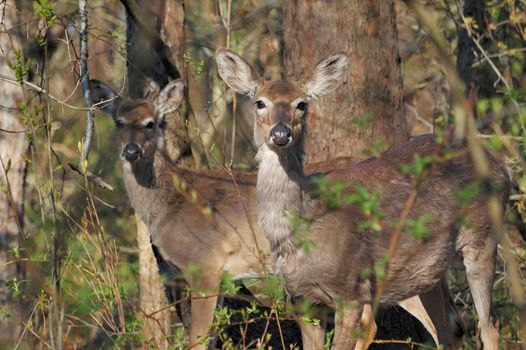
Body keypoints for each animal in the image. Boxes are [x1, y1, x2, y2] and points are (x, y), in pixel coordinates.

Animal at [216, 47, 512, 350]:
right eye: (259, 102)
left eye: (302, 104)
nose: (280, 133)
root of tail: (500, 165)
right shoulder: (303, 299)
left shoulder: (351, 290)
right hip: (428, 271)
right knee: (450, 329)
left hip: (483, 238)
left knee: (488, 328)